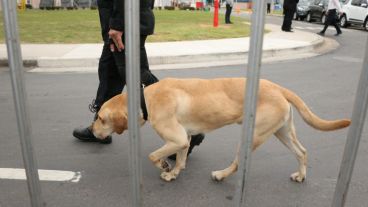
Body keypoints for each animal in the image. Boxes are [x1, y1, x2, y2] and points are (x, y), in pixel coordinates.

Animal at [90, 78, 350, 183]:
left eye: (100, 118)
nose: (92, 132)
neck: (145, 99)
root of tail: (279, 88)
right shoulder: (183, 139)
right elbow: (181, 159)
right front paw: (173, 173)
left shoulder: (176, 138)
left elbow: (153, 155)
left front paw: (164, 166)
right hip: (282, 132)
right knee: (302, 152)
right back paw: (301, 175)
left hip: (253, 136)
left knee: (237, 163)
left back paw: (221, 175)